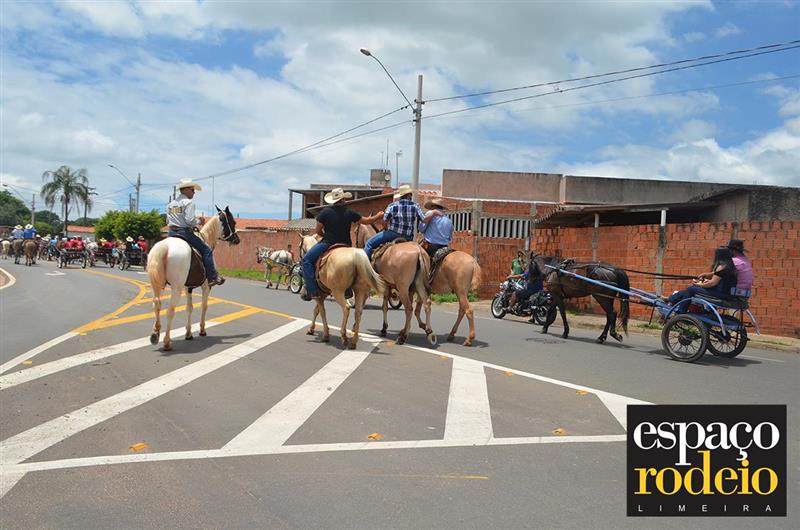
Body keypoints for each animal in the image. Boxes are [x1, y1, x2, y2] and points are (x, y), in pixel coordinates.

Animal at [147, 206, 240, 351]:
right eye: (233, 222)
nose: (237, 239)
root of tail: (164, 247)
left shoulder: (188, 288)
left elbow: (189, 308)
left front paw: (189, 333)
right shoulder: (206, 286)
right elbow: (204, 306)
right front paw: (202, 330)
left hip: (156, 285)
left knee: (156, 305)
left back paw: (155, 335)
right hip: (176, 288)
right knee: (170, 311)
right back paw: (167, 342)